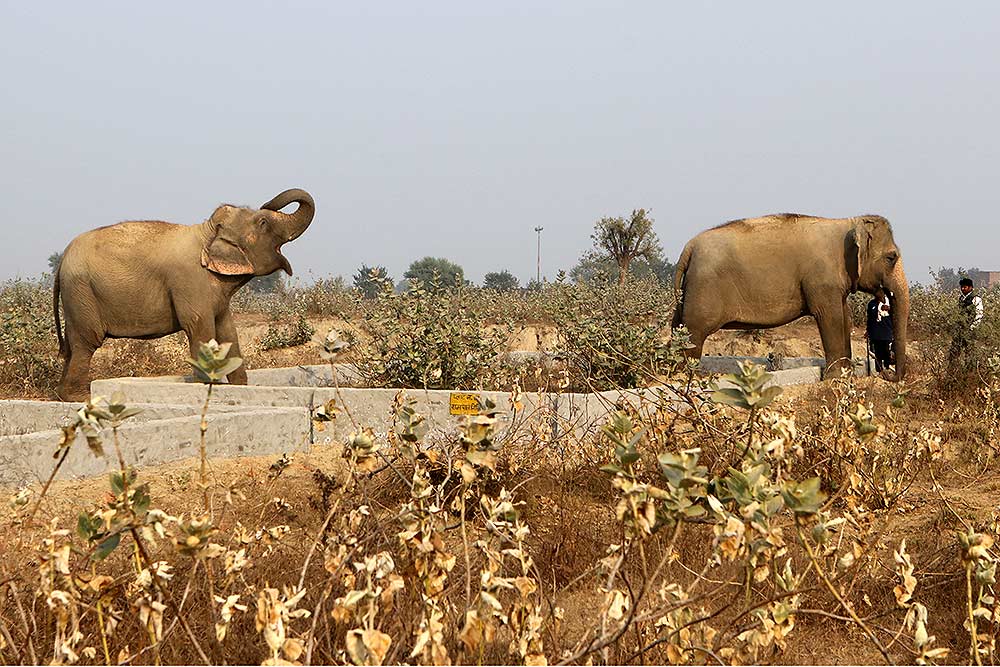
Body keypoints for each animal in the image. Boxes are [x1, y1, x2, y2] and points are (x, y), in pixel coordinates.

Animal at [53, 188, 315, 400]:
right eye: (263, 222)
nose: (268, 202)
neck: (207, 232)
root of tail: (63, 259)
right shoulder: (190, 281)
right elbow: (200, 327)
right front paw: (208, 385)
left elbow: (227, 331)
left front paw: (240, 386)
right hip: (82, 292)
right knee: (86, 342)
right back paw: (80, 397)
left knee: (72, 345)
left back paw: (64, 395)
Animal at [671, 213, 909, 380]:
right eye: (891, 257)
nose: (887, 373)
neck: (848, 222)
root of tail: (689, 247)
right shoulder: (821, 281)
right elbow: (829, 317)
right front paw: (834, 378)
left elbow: (844, 316)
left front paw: (845, 375)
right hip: (703, 290)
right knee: (695, 332)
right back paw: (687, 376)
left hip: (687, 293)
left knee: (679, 327)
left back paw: (673, 371)